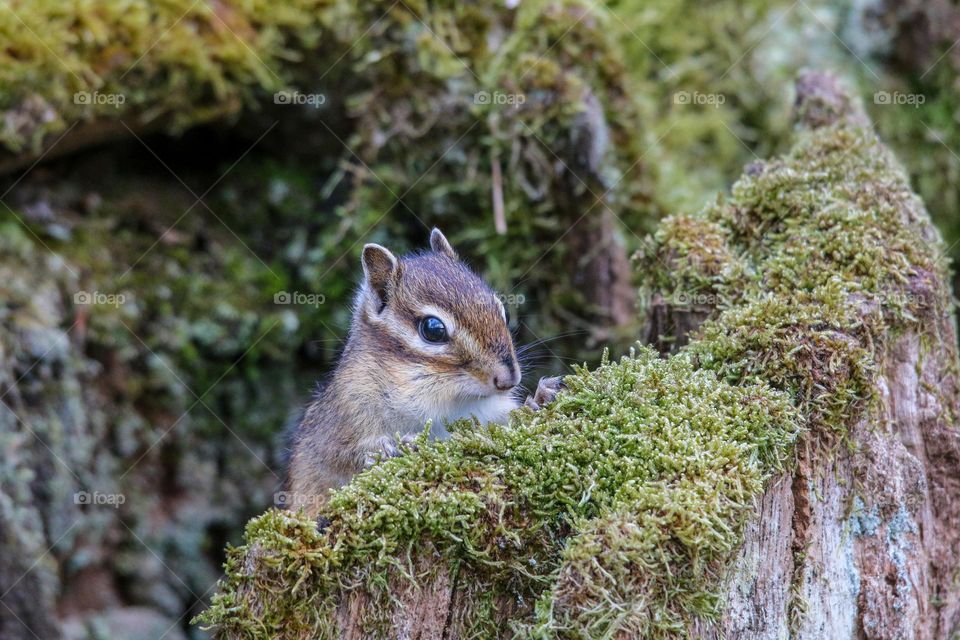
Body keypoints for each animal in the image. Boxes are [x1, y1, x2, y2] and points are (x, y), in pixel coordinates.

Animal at [283, 228, 561, 517]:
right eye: (433, 329)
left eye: (501, 309)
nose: (508, 380)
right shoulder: (345, 412)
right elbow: (339, 457)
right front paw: (390, 447)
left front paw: (538, 398)